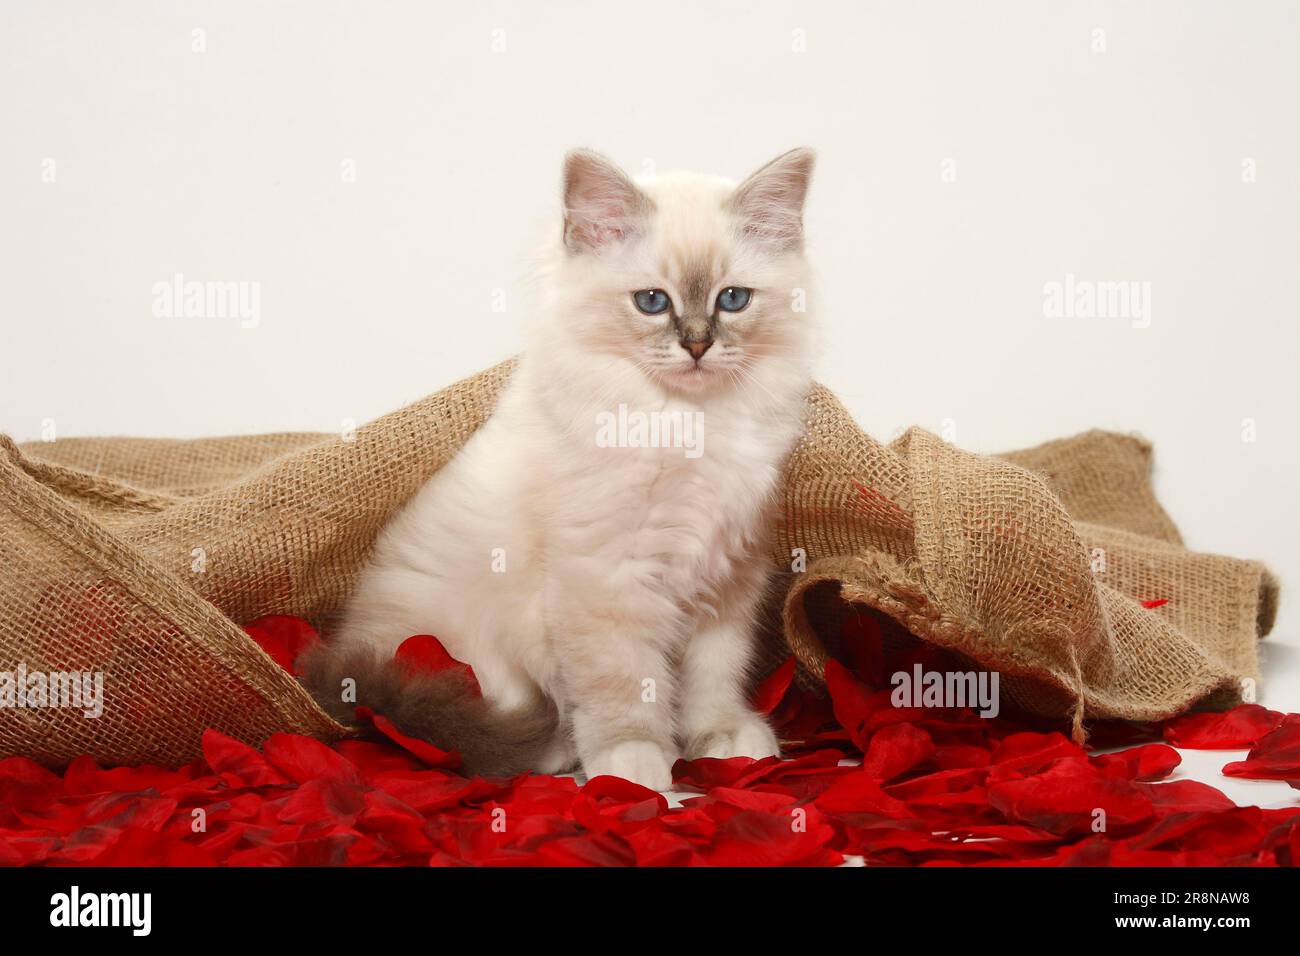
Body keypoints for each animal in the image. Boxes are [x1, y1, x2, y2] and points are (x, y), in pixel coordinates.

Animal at [302, 147, 811, 790]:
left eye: (732, 300)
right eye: (653, 302)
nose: (697, 346)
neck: (687, 421)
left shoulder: (727, 573)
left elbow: (714, 676)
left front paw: (724, 741)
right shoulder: (605, 575)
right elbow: (624, 683)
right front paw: (633, 763)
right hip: (469, 652)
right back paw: (556, 751)